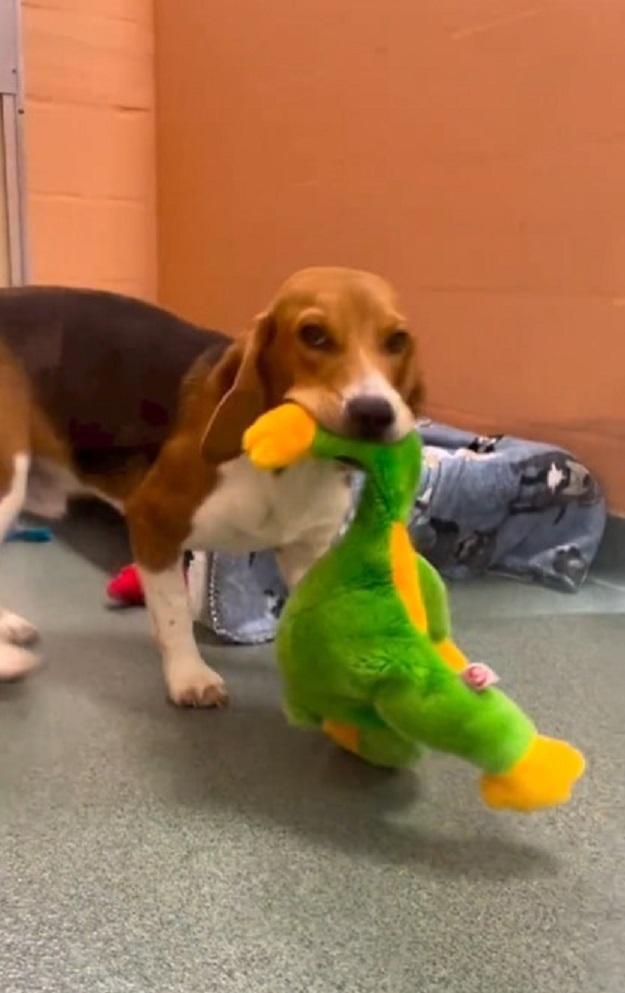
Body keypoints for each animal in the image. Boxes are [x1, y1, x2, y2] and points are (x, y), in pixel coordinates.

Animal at [0, 272, 424, 700]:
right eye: (313, 335)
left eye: (397, 341)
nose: (375, 412)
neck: (289, 465)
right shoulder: (153, 522)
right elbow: (174, 612)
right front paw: (189, 675)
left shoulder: (306, 551)